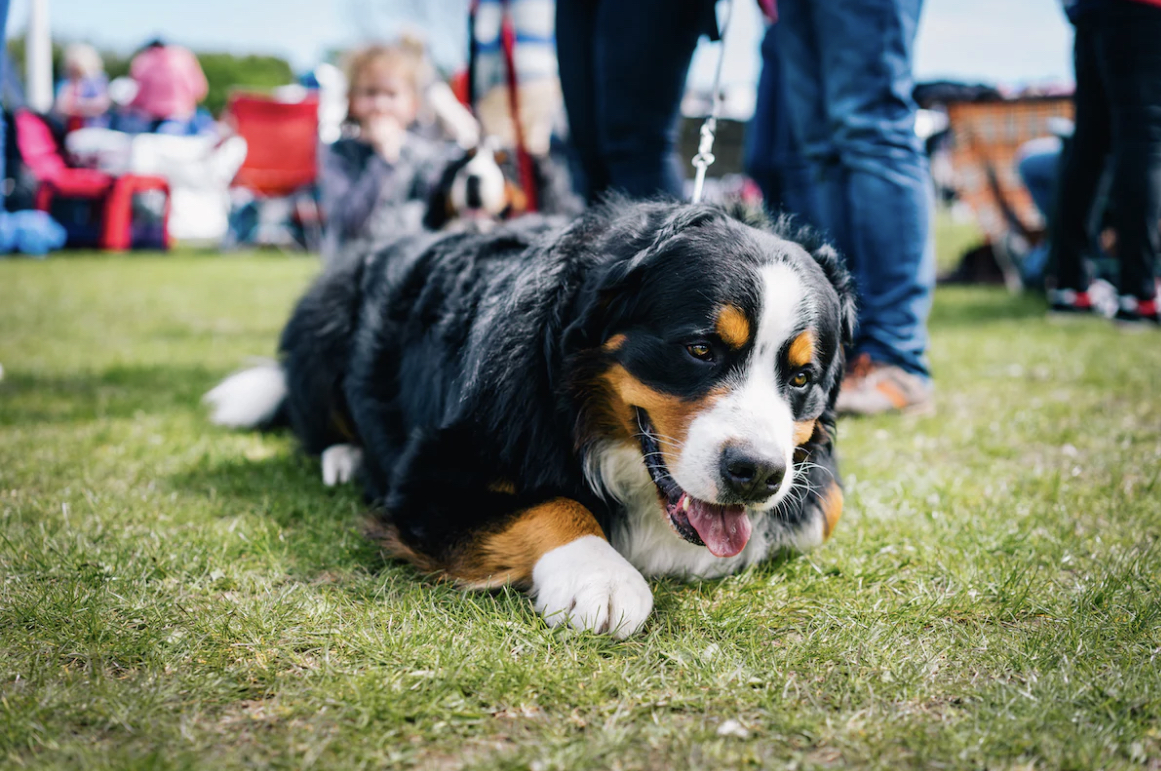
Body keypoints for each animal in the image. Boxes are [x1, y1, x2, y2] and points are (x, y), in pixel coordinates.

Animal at [208, 199, 859, 636]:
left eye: (801, 378)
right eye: (700, 349)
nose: (758, 473)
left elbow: (823, 509)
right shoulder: (430, 479)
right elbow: (555, 504)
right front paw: (602, 577)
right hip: (326, 323)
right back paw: (343, 456)